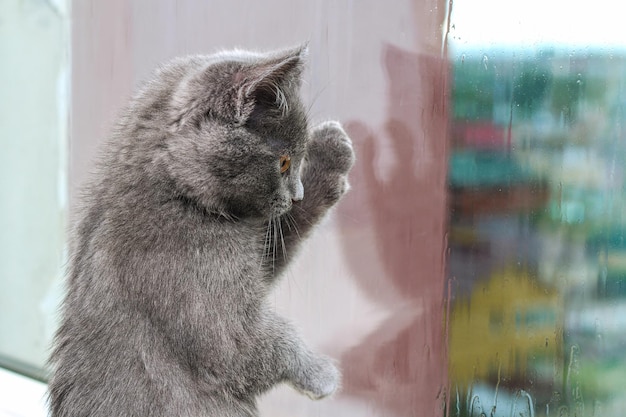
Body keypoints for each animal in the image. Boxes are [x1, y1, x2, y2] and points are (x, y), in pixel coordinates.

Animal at [47, 45, 354, 416]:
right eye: (282, 162)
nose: (297, 194)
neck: (174, 191)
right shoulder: (204, 294)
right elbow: (257, 345)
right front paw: (322, 375)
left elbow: (278, 241)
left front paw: (330, 150)